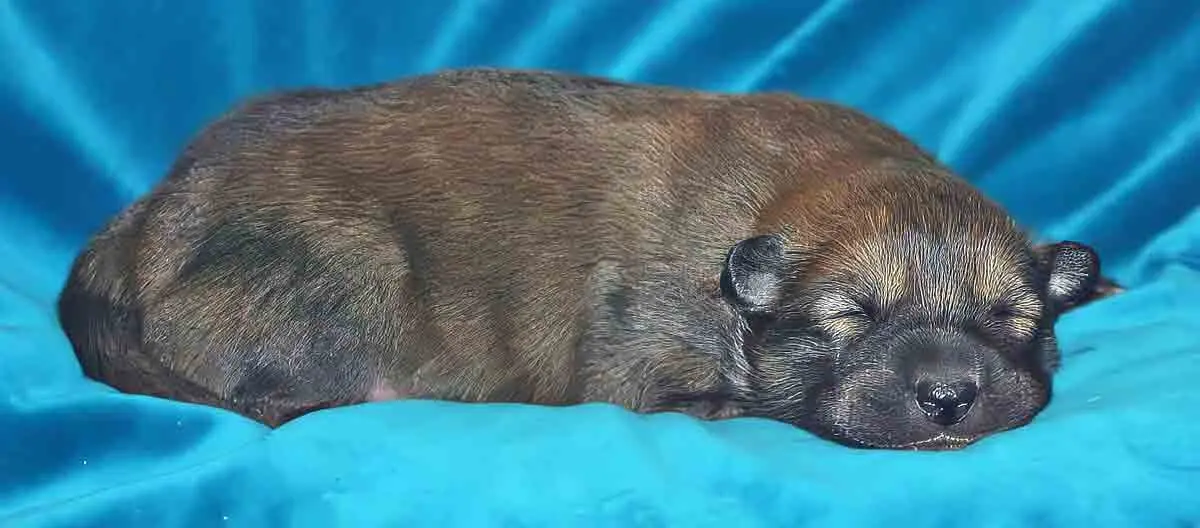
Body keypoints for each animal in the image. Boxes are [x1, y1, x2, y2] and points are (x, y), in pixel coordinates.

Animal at [58, 68, 1123, 448]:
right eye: (851, 316)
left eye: (1010, 319)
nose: (948, 397)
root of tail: (146, 217)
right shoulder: (636, 348)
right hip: (348, 270)